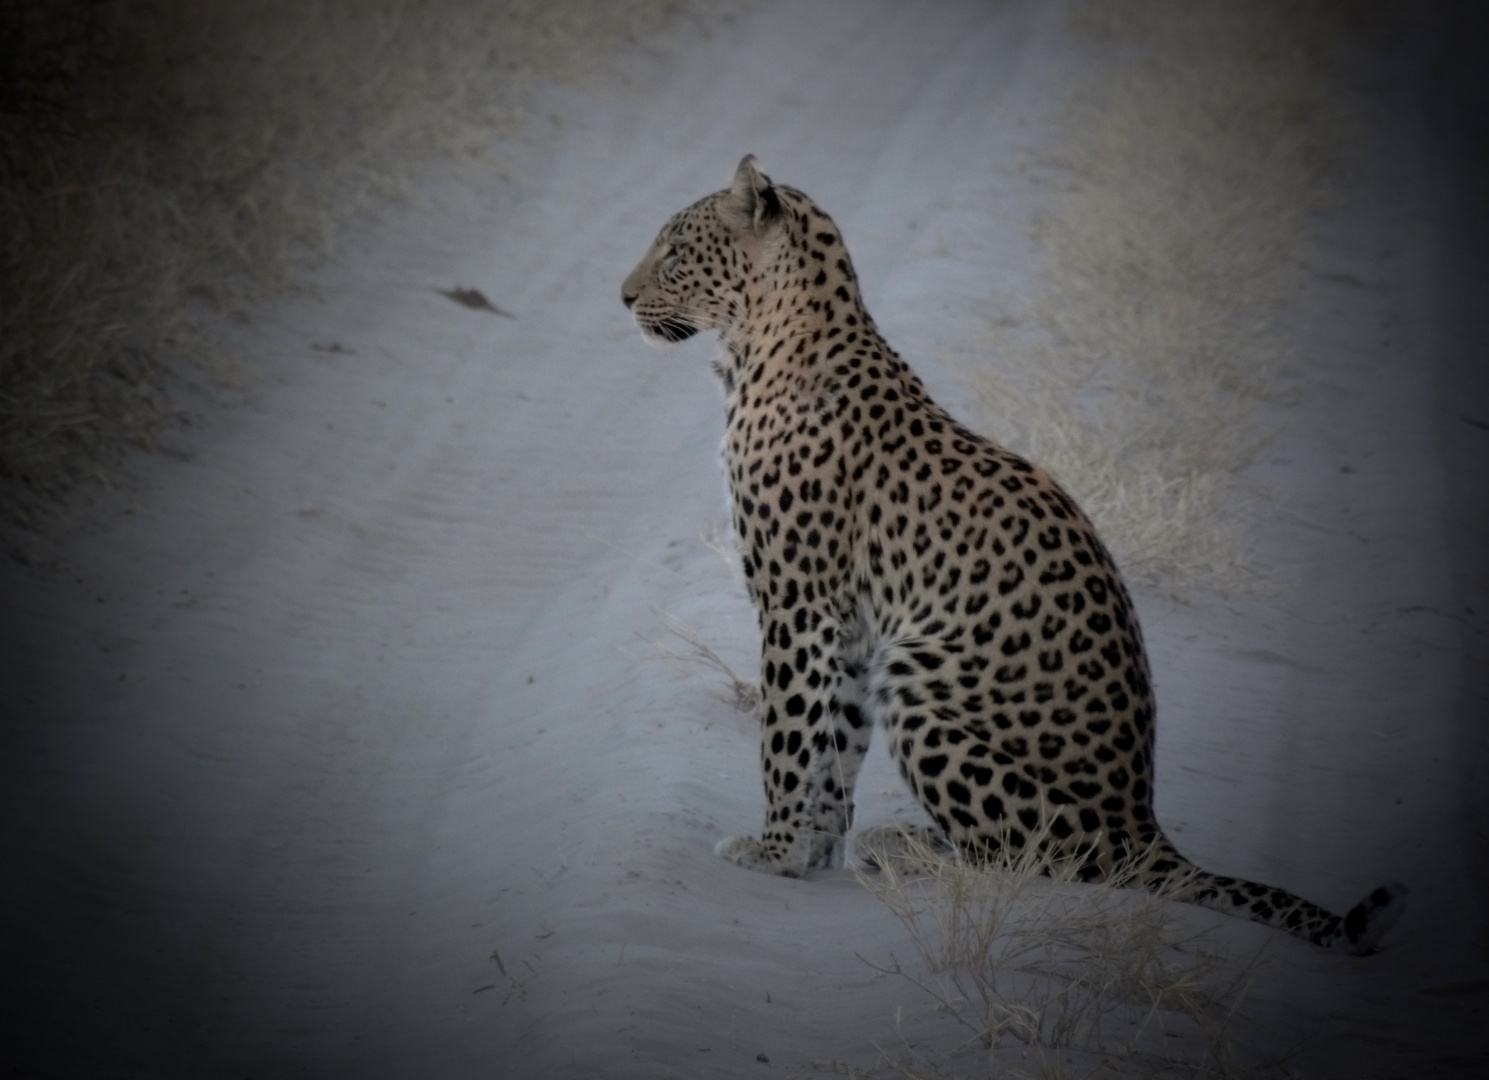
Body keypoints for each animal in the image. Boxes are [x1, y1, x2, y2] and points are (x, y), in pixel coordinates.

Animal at [619, 153, 1405, 953]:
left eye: (675, 251)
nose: (623, 298)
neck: (760, 347)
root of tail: (1145, 829)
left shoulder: (798, 602)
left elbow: (787, 735)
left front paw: (772, 851)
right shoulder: (851, 623)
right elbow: (834, 742)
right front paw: (811, 850)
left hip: (922, 681)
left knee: (1034, 859)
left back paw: (906, 848)